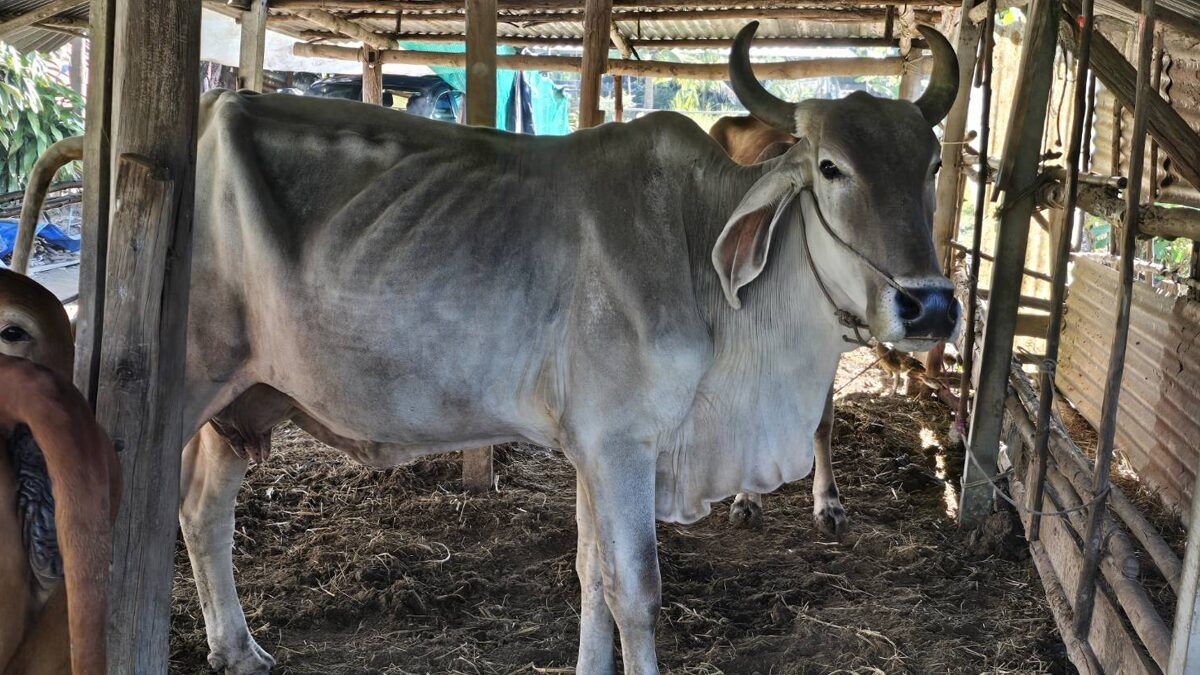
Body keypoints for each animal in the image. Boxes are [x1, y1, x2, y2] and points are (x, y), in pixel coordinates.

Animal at [19, 21, 959, 674]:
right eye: (831, 167)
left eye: (933, 165)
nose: (931, 306)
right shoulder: (621, 445)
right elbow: (636, 591)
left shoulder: (595, 446)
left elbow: (592, 577)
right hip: (180, 382)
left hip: (247, 395)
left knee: (202, 511)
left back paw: (239, 648)